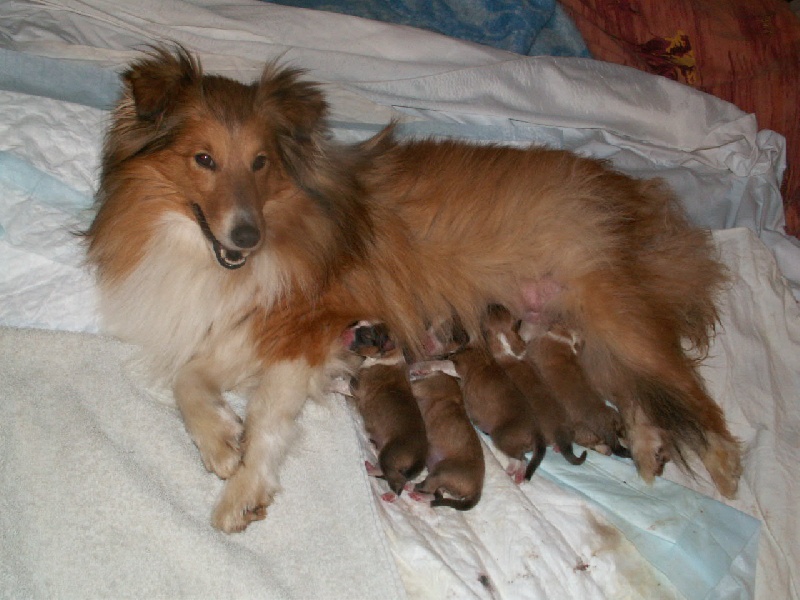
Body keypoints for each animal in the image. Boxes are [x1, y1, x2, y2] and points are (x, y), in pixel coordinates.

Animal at [346, 324, 428, 496]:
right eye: (357, 323)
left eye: (366, 335)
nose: (348, 329)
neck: (388, 355)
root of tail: (420, 459)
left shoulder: (356, 386)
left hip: (389, 456)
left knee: (396, 481)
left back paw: (390, 492)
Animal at [410, 372, 484, 508]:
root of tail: (477, 489)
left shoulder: (422, 387)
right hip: (442, 480)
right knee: (436, 495)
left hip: (440, 471)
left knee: (429, 489)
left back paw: (414, 489)